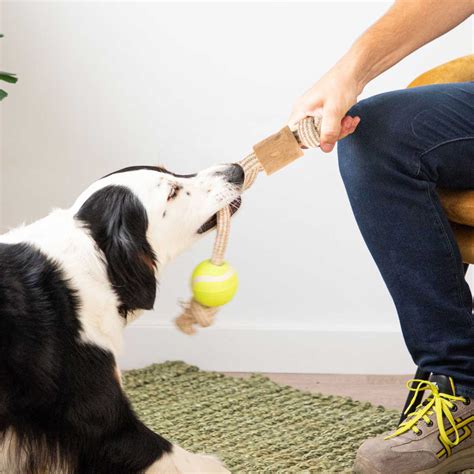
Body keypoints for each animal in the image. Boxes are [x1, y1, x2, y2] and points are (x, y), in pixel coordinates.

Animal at [0, 162, 243, 470]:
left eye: (170, 171)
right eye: (172, 193)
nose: (235, 170)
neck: (97, 257)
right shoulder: (100, 419)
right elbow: (177, 457)